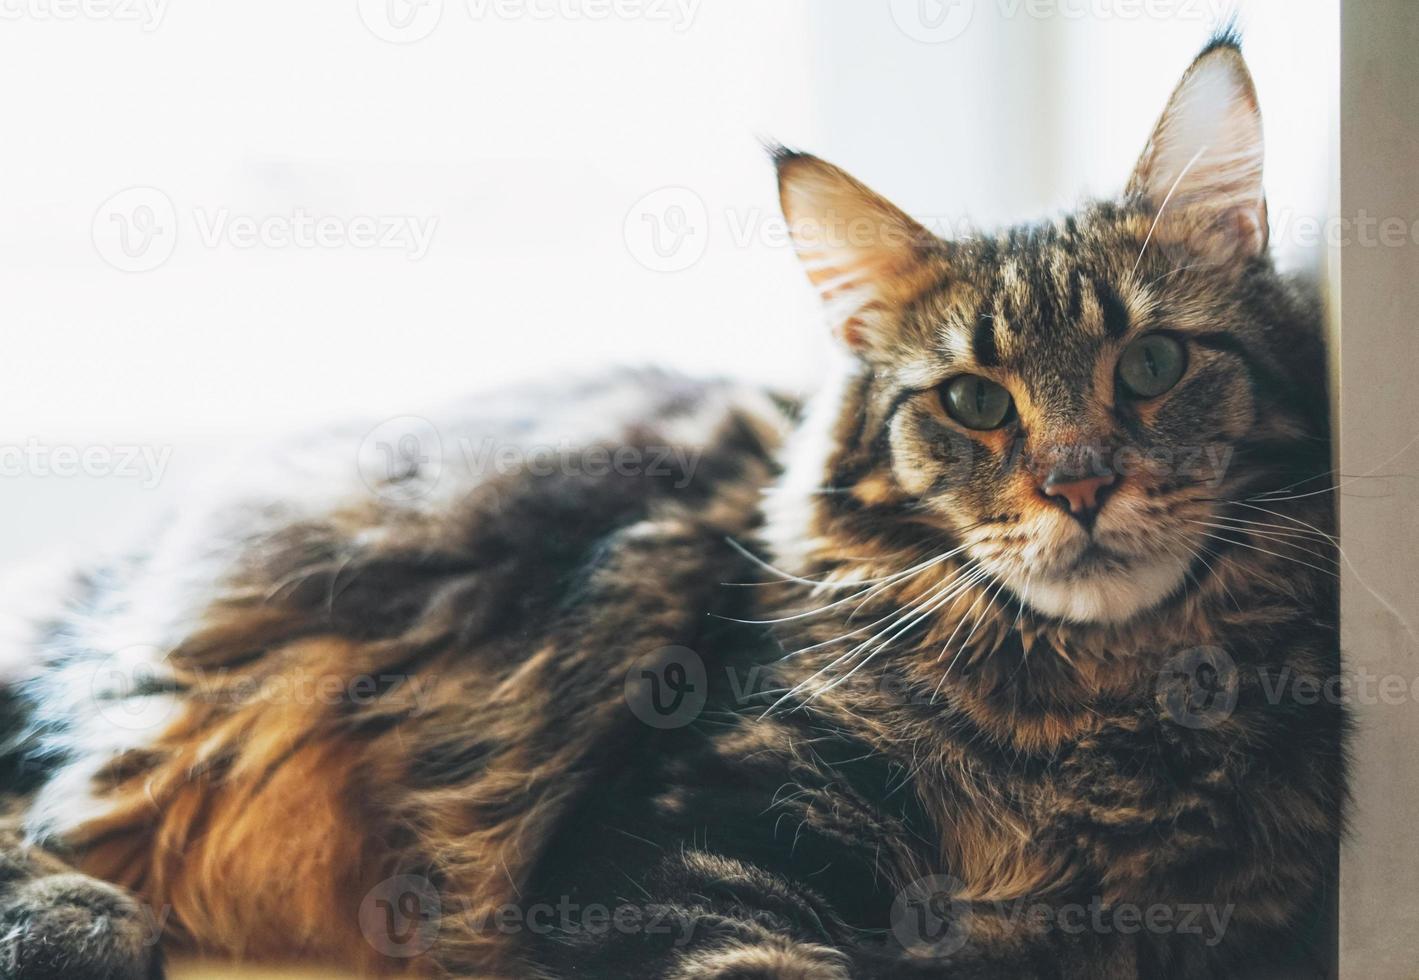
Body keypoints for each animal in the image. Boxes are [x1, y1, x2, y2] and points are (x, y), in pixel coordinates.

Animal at [0, 30, 1339, 980]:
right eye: (973, 401)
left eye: (1151, 365)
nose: (1079, 482)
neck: (1090, 716)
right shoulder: (678, 836)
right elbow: (764, 962)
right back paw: (75, 920)